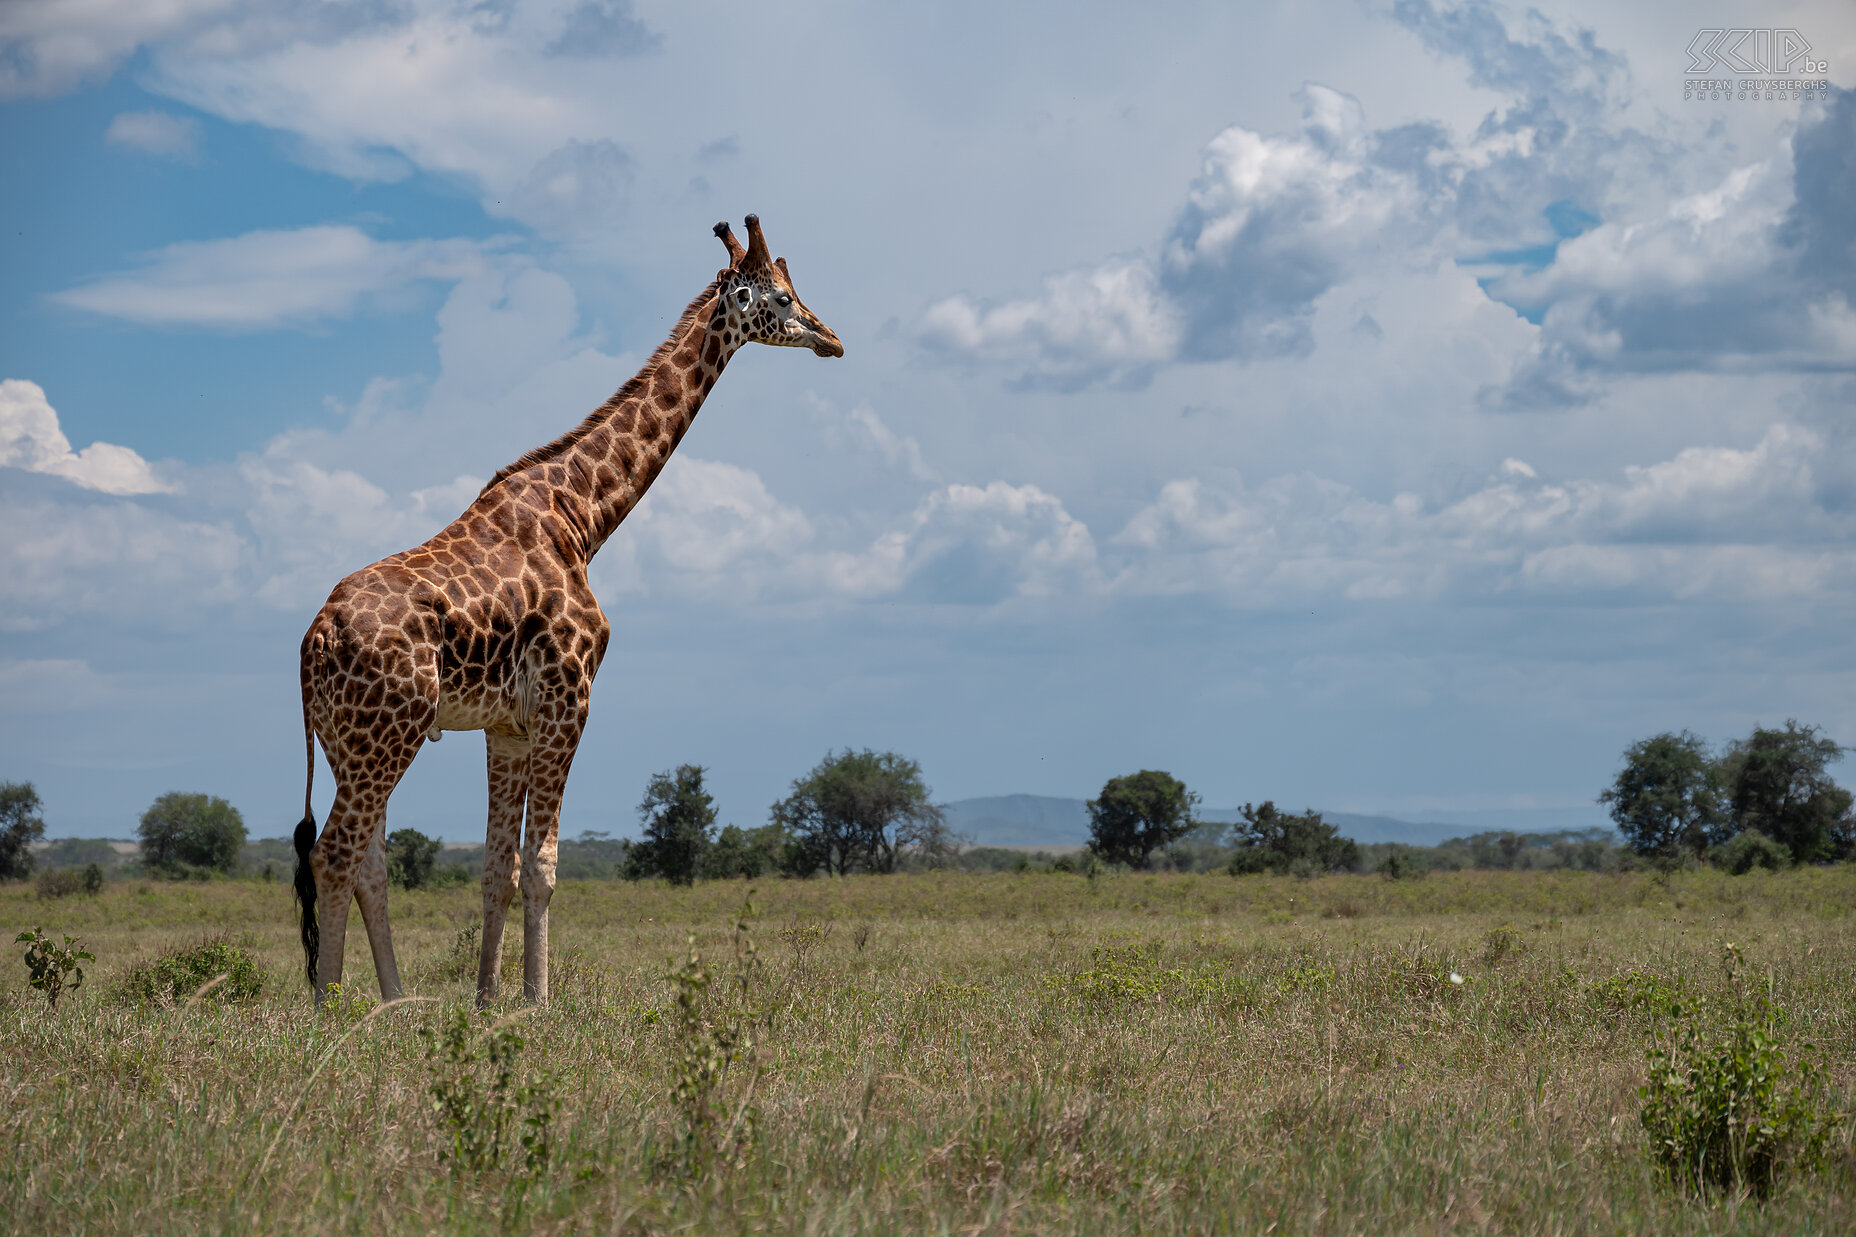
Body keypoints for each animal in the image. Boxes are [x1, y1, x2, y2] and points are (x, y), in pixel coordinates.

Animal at [289, 214, 842, 1002]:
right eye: (785, 297)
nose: (833, 339)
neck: (584, 515)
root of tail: (313, 642)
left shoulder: (507, 726)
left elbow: (499, 868)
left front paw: (488, 1000)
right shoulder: (567, 697)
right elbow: (544, 865)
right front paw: (538, 1003)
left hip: (352, 741)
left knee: (368, 861)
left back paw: (395, 1003)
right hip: (390, 731)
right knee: (335, 853)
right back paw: (331, 1008)